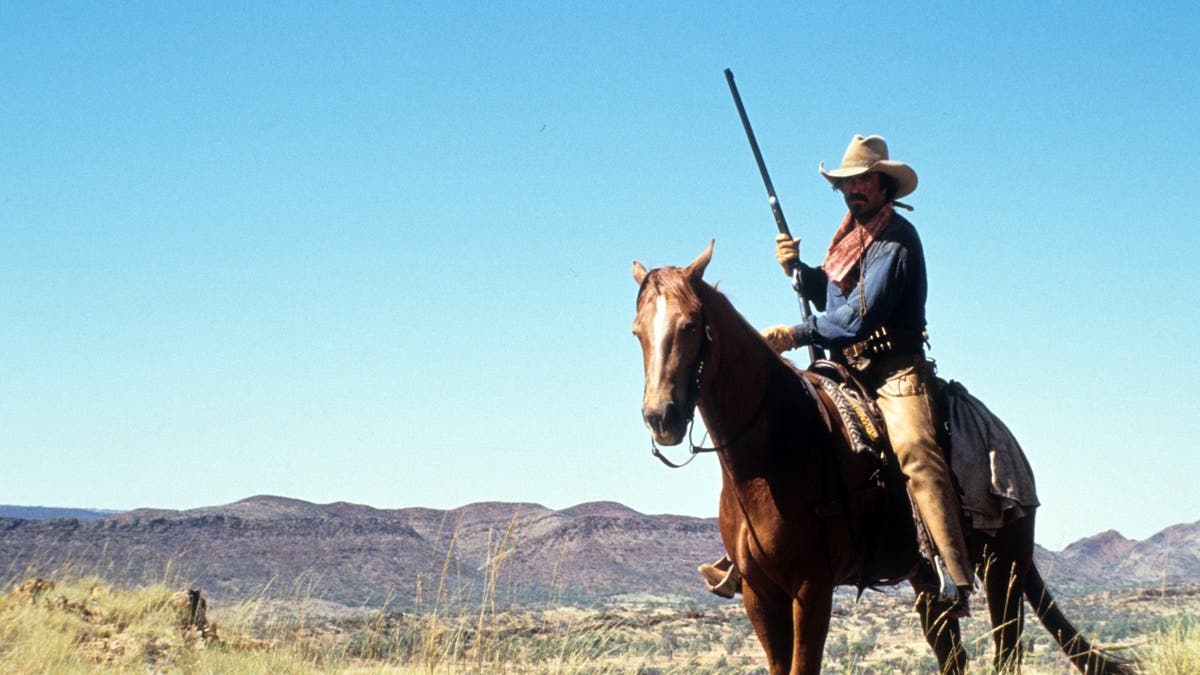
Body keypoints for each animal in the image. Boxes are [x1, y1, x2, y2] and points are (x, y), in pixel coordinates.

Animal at [628, 241, 1132, 672]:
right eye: (637, 333)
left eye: (691, 324)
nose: (660, 417)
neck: (767, 458)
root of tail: (1006, 440)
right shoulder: (759, 592)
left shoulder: (812, 588)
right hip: (928, 581)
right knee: (954, 657)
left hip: (1003, 569)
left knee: (1006, 653)